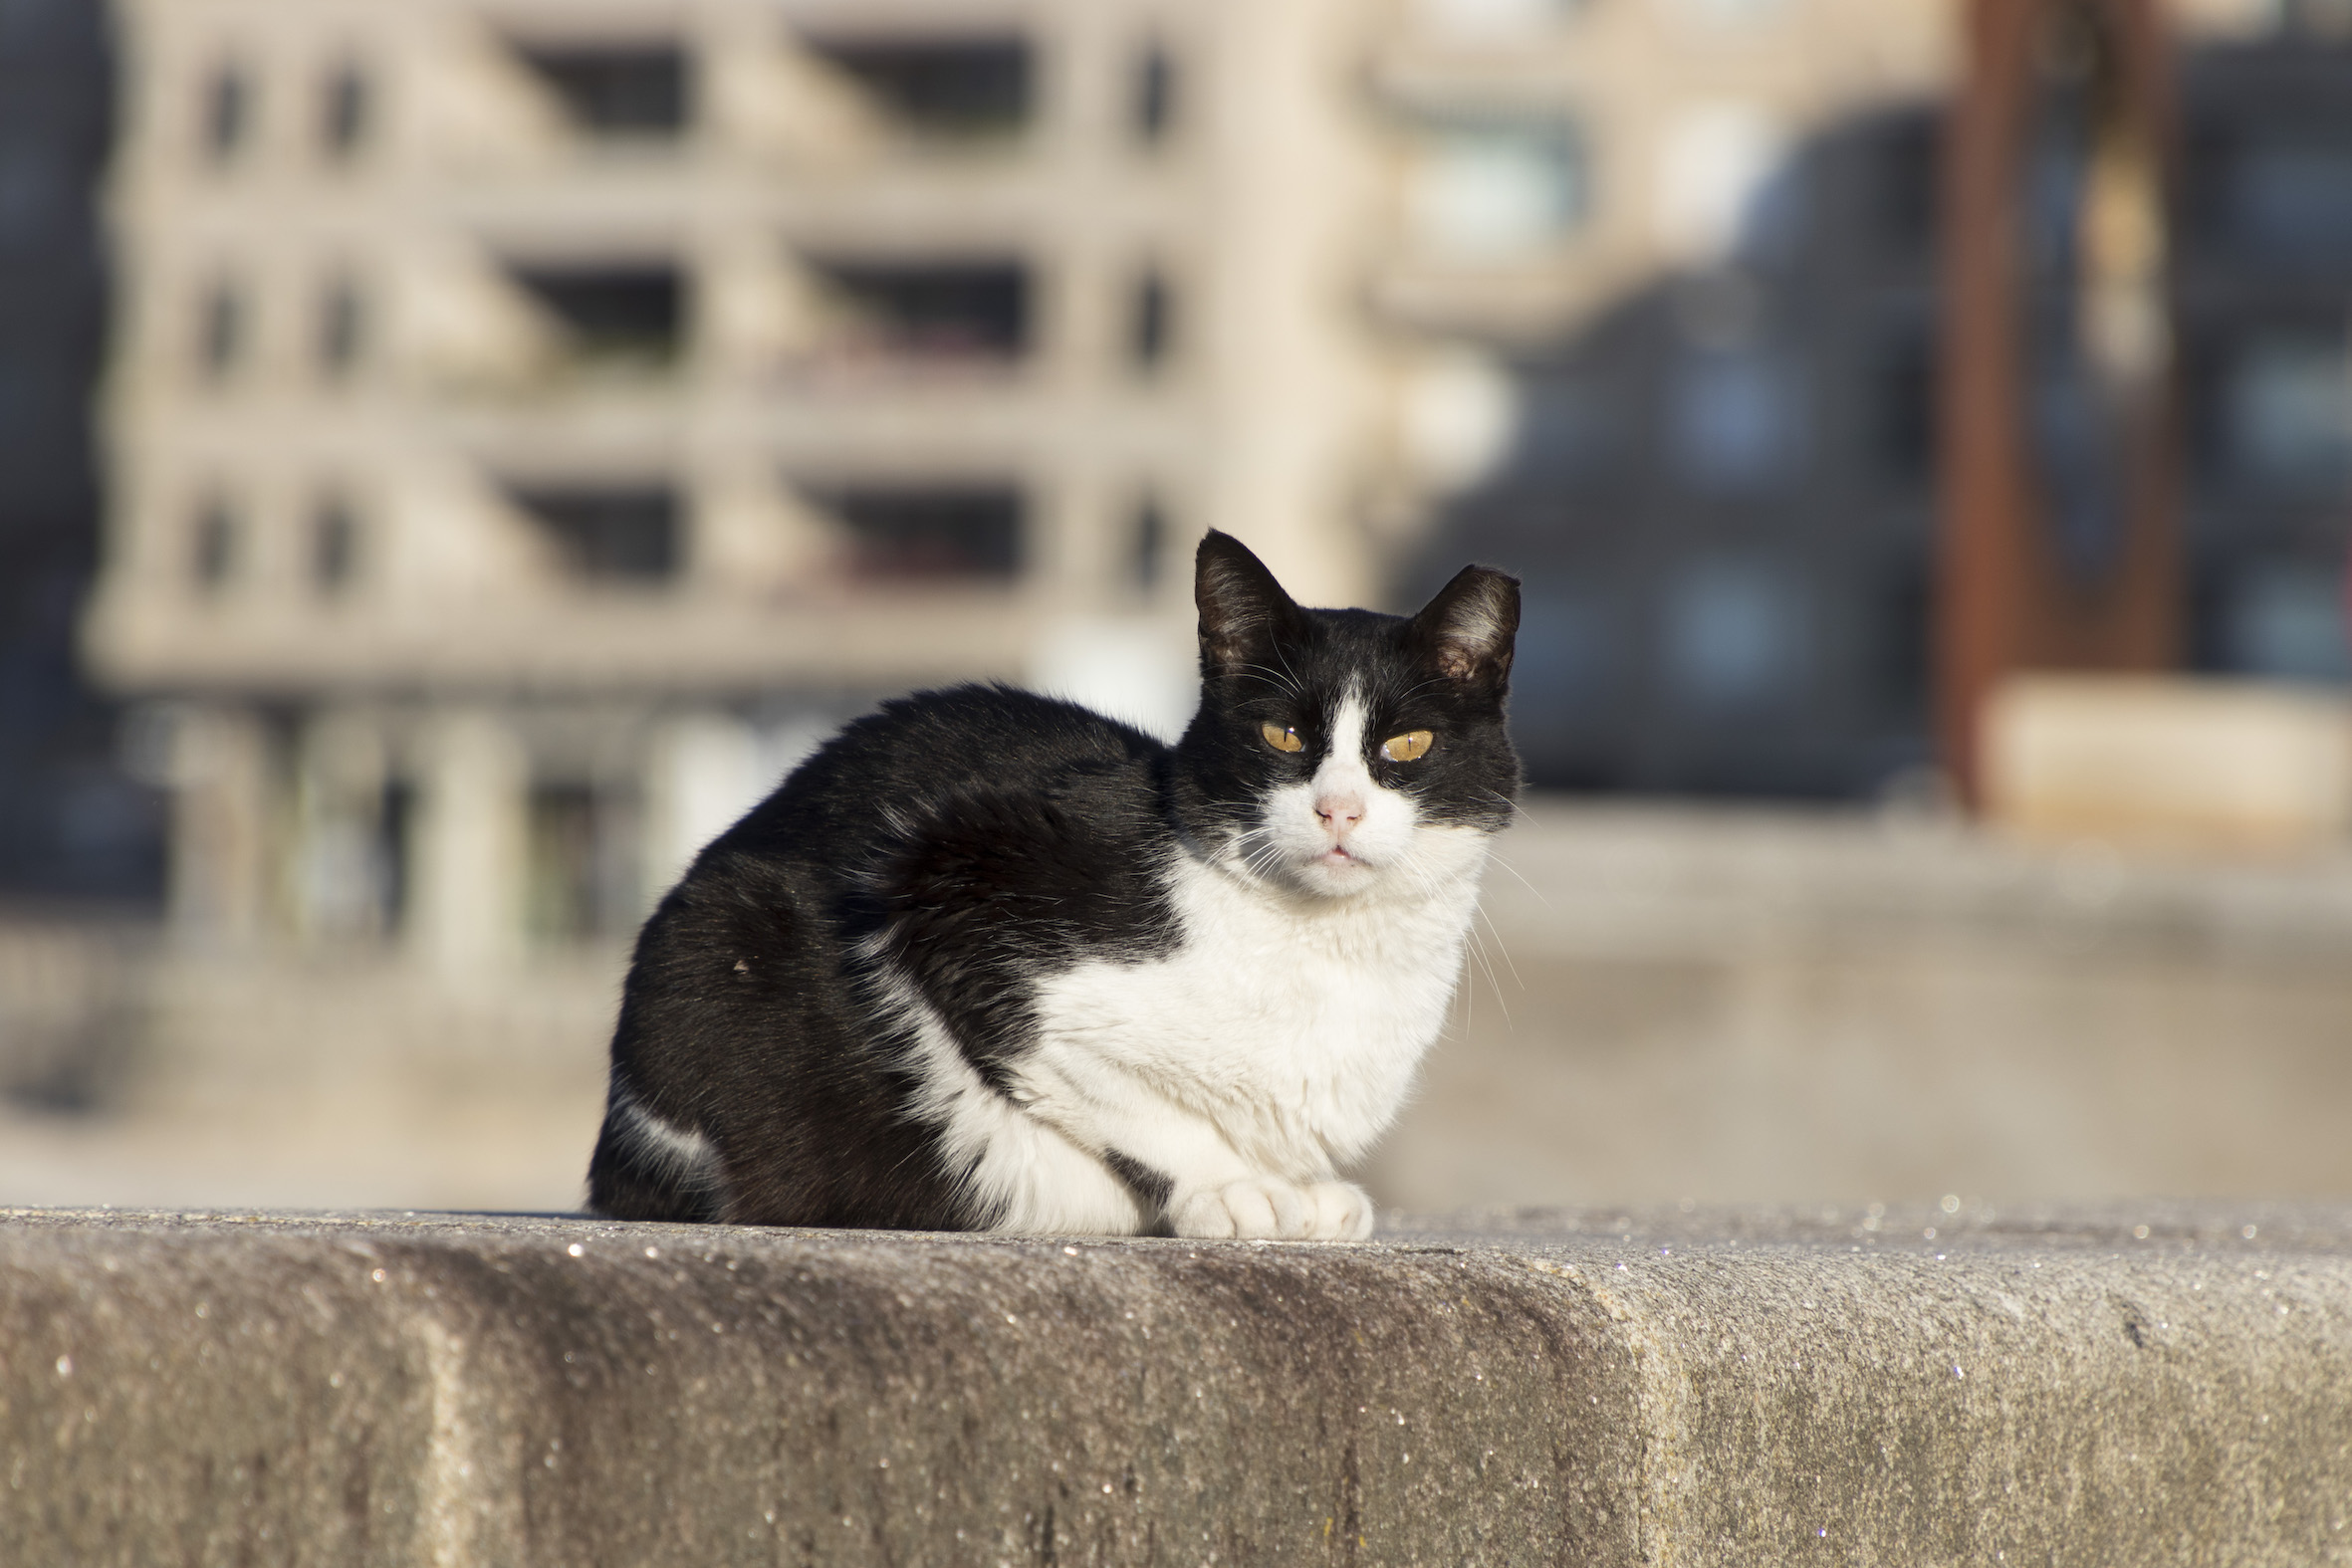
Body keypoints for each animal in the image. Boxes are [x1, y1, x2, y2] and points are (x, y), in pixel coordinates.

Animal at [588, 534, 1524, 1240]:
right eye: (1283, 735)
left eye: (1407, 746)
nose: (1338, 809)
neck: (1326, 947)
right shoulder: (952, 876)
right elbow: (1124, 1099)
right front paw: (1236, 1187)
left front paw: (1295, 1186)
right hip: (726, 932)